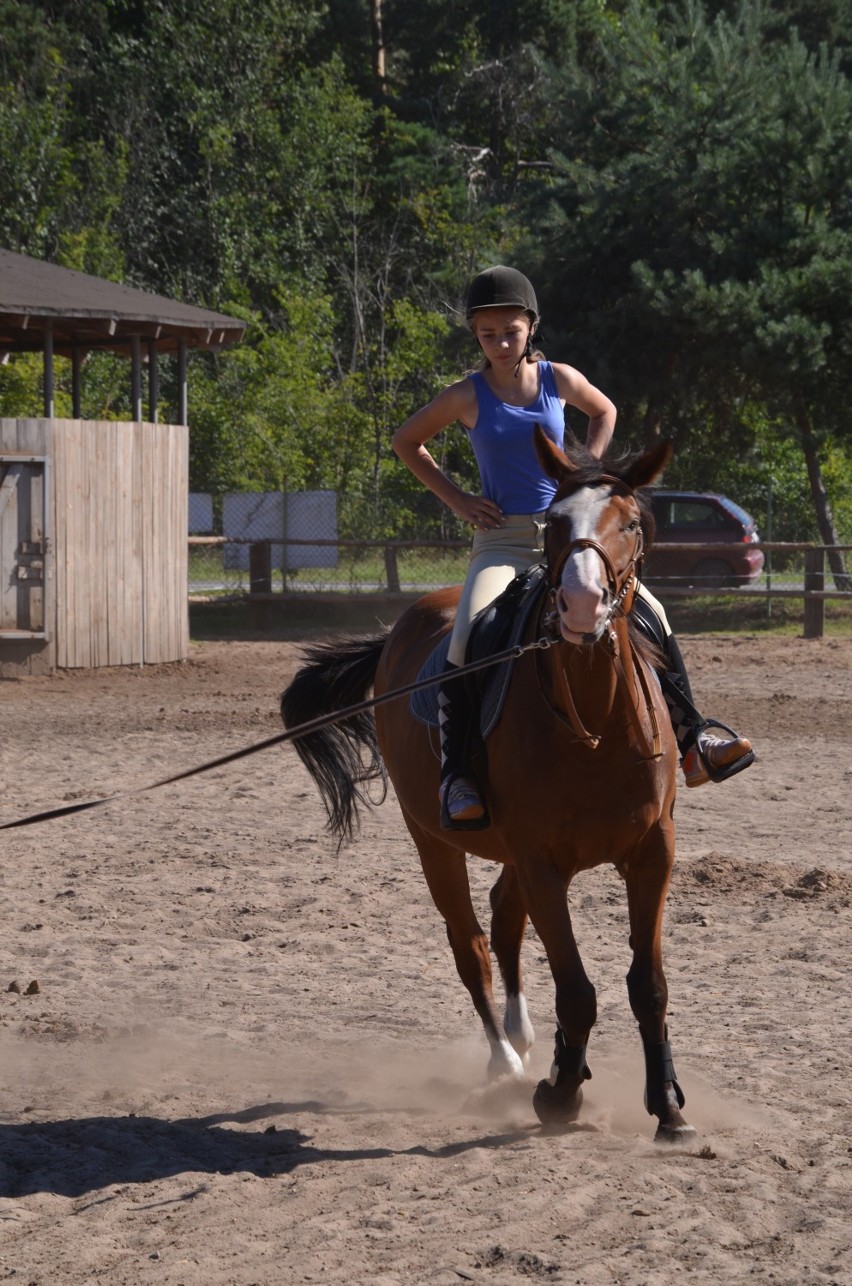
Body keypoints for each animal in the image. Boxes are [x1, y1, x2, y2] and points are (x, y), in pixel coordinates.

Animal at [282, 437, 699, 1141]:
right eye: (554, 525)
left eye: (632, 524)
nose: (581, 605)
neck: (596, 725)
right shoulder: (542, 863)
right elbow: (577, 991)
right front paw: (560, 1094)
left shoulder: (652, 853)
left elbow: (649, 985)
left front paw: (667, 1106)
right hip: (435, 842)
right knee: (472, 943)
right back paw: (506, 1061)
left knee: (504, 921)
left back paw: (523, 1034)